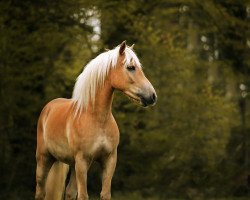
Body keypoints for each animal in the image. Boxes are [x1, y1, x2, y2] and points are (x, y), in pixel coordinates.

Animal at [35, 41, 156, 200]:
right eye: (131, 67)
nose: (152, 96)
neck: (97, 119)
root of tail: (48, 107)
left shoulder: (109, 160)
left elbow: (105, 194)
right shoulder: (82, 161)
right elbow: (83, 195)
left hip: (71, 164)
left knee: (69, 192)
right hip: (44, 160)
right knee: (40, 192)